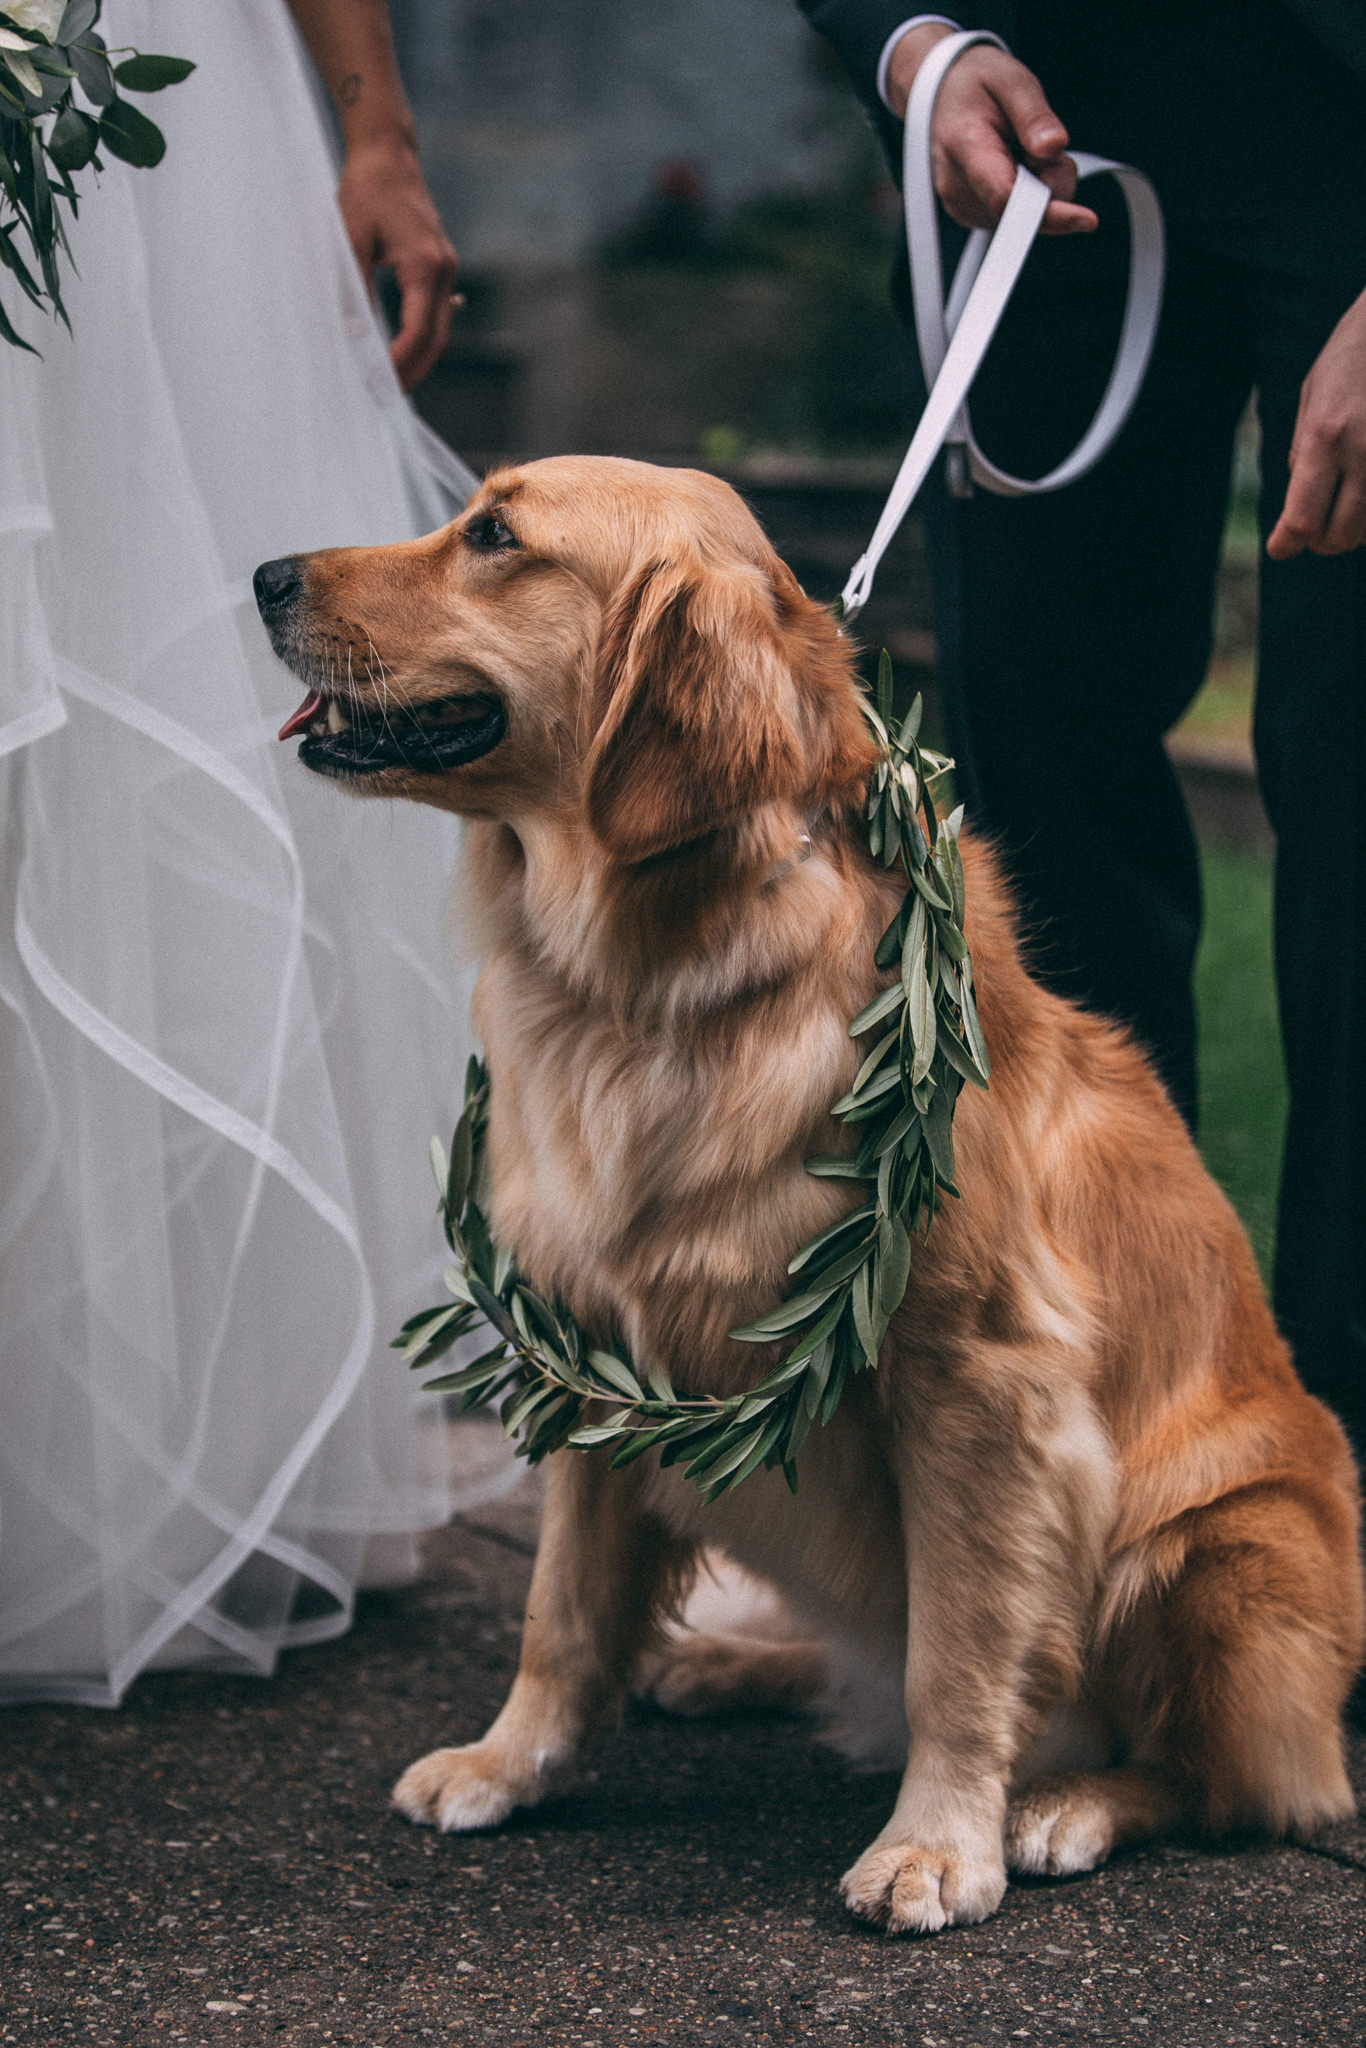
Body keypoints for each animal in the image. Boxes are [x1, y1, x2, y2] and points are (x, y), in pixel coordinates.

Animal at [253, 452, 1359, 1933]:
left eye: (494, 535)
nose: (265, 575)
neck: (656, 988)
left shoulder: (978, 1384)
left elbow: (959, 1648)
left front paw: (940, 1842)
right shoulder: (586, 1346)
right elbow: (562, 1611)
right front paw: (510, 1760)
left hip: (1222, 1543)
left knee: (1235, 1781)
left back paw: (1068, 1803)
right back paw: (728, 1665)